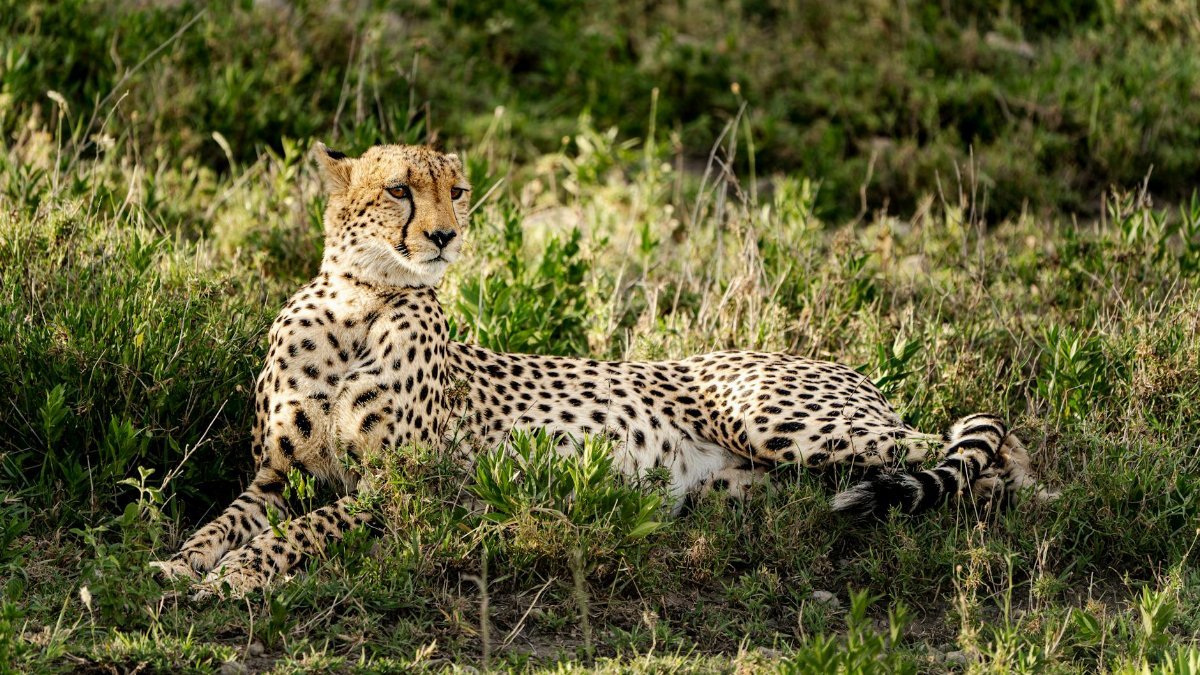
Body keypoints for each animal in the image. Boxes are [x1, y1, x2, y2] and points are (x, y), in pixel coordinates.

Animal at [150, 142, 1053, 598]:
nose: (444, 236)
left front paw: (241, 574)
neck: (359, 303)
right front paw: (184, 560)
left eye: (458, 191)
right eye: (401, 190)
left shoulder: (406, 489)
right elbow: (228, 518)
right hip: (751, 484)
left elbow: (302, 531)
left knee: (970, 438)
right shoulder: (277, 476)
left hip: (785, 420)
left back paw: (1025, 494)